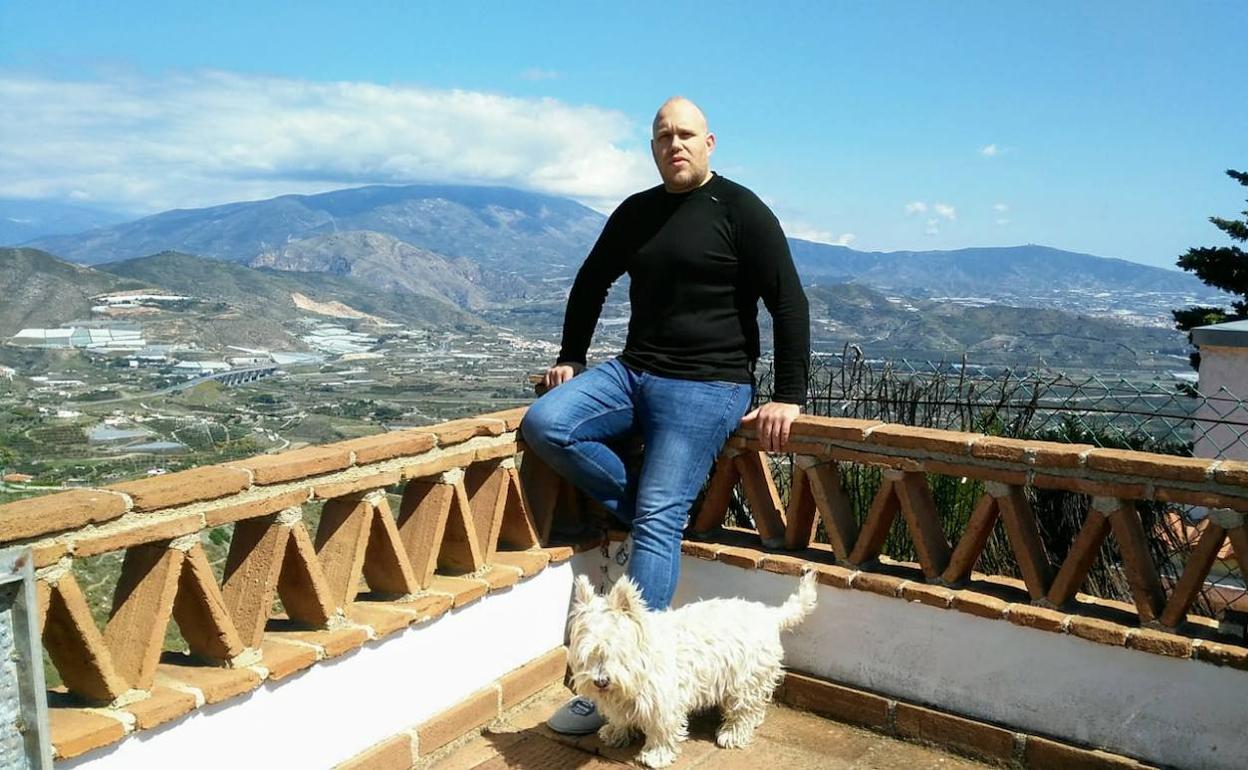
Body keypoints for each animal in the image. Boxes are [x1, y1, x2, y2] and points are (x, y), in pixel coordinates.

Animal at [569, 566, 818, 763]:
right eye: (589, 654)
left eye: (616, 651)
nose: (600, 682)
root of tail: (771, 616)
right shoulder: (622, 698)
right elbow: (620, 717)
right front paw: (614, 733)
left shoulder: (664, 702)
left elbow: (661, 729)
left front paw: (656, 755)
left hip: (746, 679)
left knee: (743, 708)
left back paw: (732, 734)